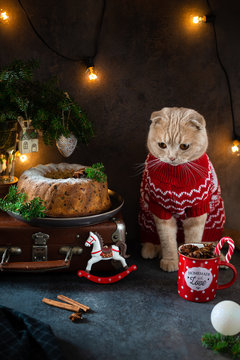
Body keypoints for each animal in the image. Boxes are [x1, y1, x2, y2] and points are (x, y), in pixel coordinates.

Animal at [139, 107, 225, 272]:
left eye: (184, 146)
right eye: (162, 145)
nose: (172, 157)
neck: (176, 175)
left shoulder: (197, 211)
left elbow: (194, 238)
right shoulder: (161, 210)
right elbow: (167, 240)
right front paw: (171, 259)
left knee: (213, 242)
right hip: (145, 215)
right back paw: (150, 249)